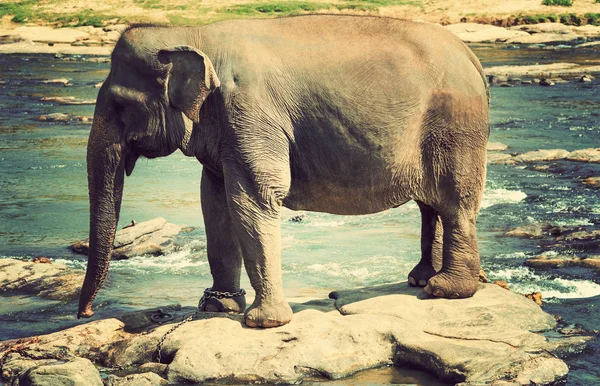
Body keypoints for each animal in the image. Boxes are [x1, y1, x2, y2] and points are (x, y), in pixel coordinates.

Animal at [77, 15, 490, 328]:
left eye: (120, 105)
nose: (87, 312)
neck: (194, 33)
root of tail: (470, 54)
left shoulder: (250, 113)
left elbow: (254, 196)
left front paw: (263, 322)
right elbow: (214, 201)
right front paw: (217, 307)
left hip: (455, 125)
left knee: (454, 202)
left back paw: (446, 289)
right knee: (430, 205)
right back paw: (421, 279)